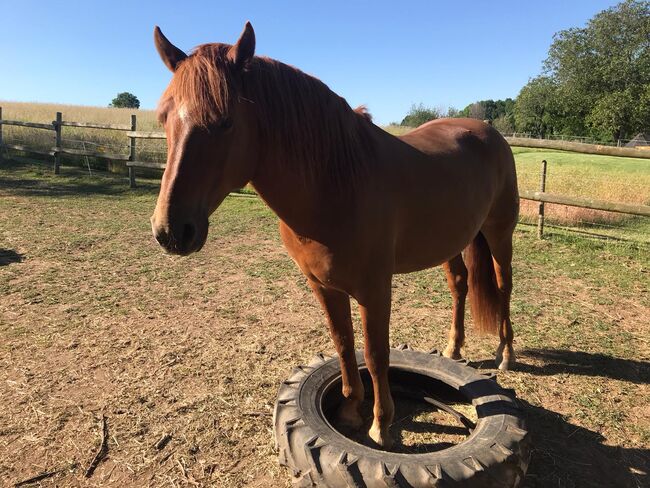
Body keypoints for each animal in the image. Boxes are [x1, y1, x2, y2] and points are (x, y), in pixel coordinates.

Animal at [151, 23, 516, 450]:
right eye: (163, 117)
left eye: (225, 121)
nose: (171, 231)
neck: (336, 183)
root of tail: (487, 132)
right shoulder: (323, 285)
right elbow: (343, 344)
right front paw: (350, 410)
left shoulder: (375, 289)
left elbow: (375, 354)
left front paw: (380, 425)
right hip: (453, 241)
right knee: (460, 283)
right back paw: (453, 349)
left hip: (499, 233)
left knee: (504, 286)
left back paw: (505, 354)